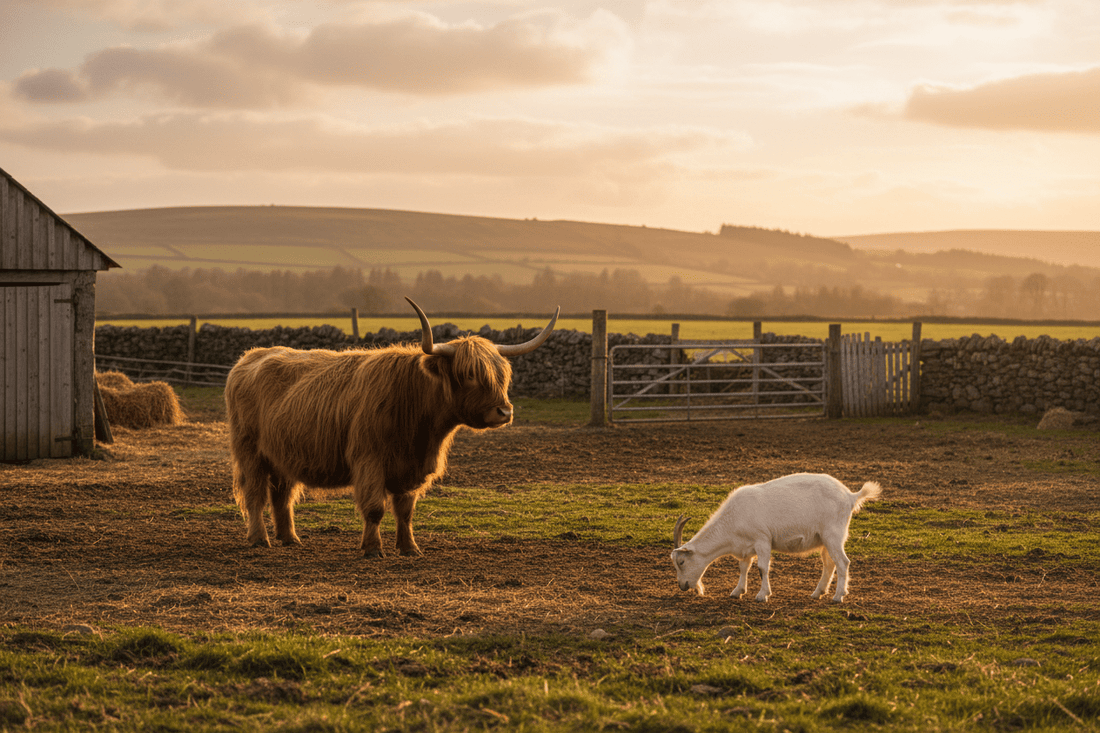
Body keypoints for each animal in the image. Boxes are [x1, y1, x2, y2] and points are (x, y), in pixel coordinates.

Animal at [670, 473, 882, 603]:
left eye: (681, 562)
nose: (682, 586)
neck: (732, 521)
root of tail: (850, 496)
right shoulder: (746, 547)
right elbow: (743, 568)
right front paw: (737, 591)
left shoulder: (762, 539)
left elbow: (762, 568)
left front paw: (762, 595)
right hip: (825, 539)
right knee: (829, 563)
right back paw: (817, 593)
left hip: (834, 534)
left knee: (843, 562)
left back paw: (838, 596)